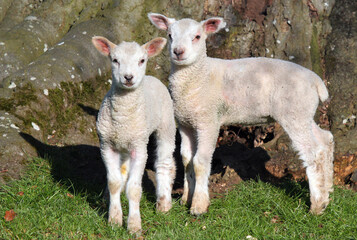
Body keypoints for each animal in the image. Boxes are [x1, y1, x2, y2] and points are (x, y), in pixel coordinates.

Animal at [91, 35, 176, 232]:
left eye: (142, 60)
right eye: (115, 60)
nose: (128, 77)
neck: (123, 118)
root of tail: (151, 77)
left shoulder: (139, 148)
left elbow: (135, 189)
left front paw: (134, 226)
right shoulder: (107, 145)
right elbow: (114, 183)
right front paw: (114, 220)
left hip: (166, 125)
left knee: (164, 163)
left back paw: (164, 204)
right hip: (125, 143)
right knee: (123, 170)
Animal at [147, 13, 334, 216]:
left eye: (197, 37)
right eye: (170, 35)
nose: (178, 52)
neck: (200, 75)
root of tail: (316, 81)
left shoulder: (209, 120)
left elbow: (200, 161)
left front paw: (198, 206)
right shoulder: (186, 123)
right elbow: (187, 160)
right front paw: (185, 199)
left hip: (294, 112)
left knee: (313, 153)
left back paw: (317, 205)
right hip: (303, 113)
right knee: (325, 140)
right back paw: (328, 191)